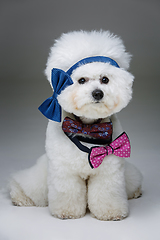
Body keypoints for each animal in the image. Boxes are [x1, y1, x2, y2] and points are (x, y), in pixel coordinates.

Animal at [10, 30, 142, 221]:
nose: (97, 93)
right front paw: (67, 212)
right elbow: (67, 193)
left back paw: (136, 191)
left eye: (105, 79)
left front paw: (111, 212)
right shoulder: (64, 171)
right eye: (81, 80)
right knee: (29, 184)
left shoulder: (109, 171)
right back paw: (19, 196)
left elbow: (107, 193)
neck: (87, 127)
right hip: (42, 175)